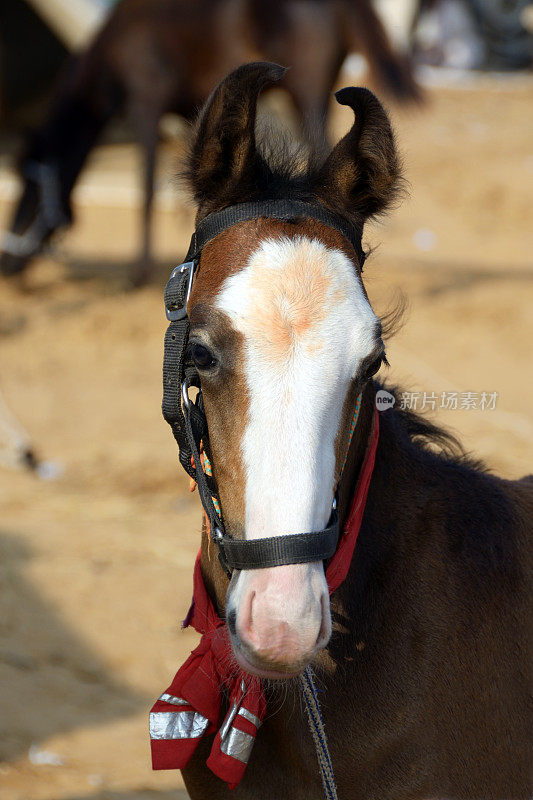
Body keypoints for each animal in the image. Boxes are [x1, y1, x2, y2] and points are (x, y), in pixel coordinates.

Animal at [0, 0, 420, 286]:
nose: (9, 263)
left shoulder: (146, 103)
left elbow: (147, 187)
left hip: (308, 89)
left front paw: (140, 271)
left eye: (30, 185)